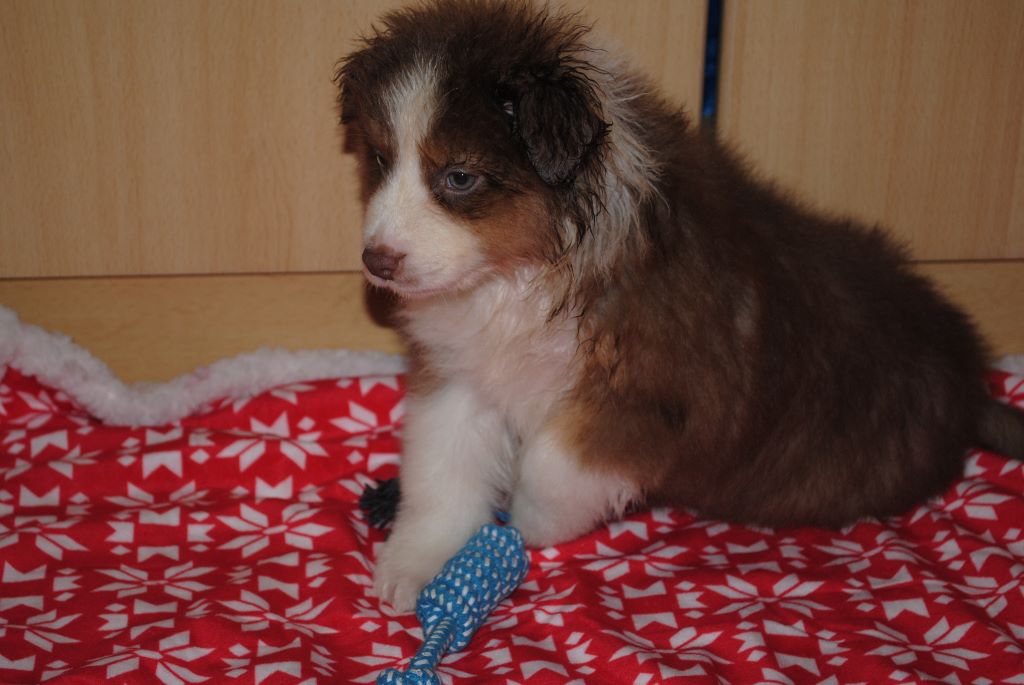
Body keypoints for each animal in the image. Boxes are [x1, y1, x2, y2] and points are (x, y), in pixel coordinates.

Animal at [336, 0, 1024, 611]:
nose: (377, 260)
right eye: (380, 158)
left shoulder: (653, 395)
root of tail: (970, 392)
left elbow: (553, 462)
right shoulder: (462, 371)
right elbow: (442, 470)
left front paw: (531, 524)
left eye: (458, 177)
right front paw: (419, 564)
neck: (528, 271)